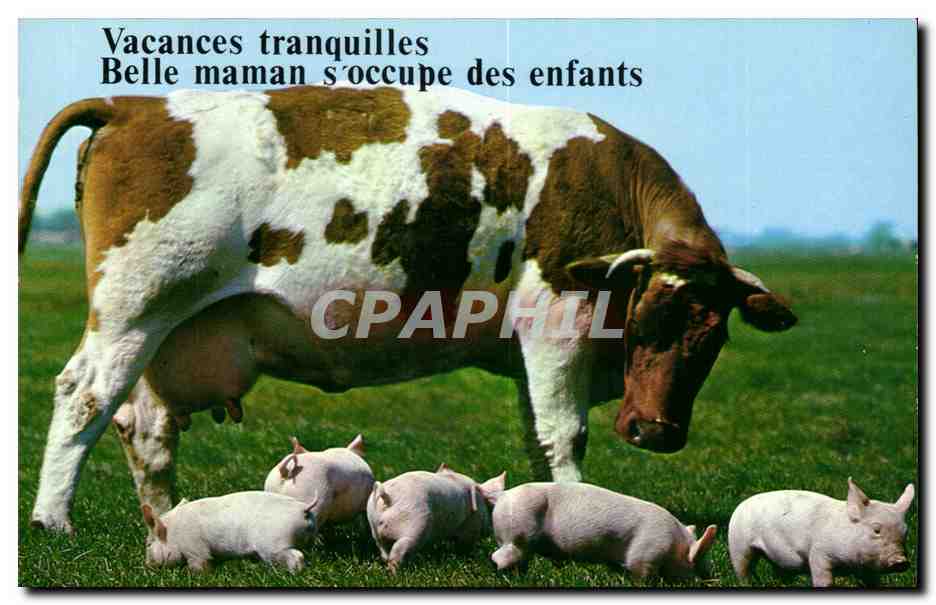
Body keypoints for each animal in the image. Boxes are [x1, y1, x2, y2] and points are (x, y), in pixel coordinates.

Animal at [20, 85, 796, 534]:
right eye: (642, 320)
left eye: (712, 337)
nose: (654, 430)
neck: (606, 182)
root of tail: (134, 104)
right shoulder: (556, 316)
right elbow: (564, 432)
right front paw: (579, 501)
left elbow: (536, 433)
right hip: (135, 307)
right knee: (85, 398)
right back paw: (54, 519)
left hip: (170, 328)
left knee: (144, 426)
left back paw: (170, 519)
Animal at [141, 491, 318, 573]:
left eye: (148, 544)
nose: (147, 565)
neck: (173, 533)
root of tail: (303, 508)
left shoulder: (195, 547)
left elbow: (201, 563)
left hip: (273, 545)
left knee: (297, 556)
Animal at [366, 463, 506, 573]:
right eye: (489, 507)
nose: (488, 532)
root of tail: (388, 496)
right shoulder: (470, 527)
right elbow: (464, 544)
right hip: (414, 527)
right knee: (397, 553)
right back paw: (397, 573)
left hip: (374, 527)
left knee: (383, 551)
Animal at [490, 482, 717, 581]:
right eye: (696, 561)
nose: (709, 579)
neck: (676, 544)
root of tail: (502, 495)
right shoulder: (645, 554)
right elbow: (642, 574)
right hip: (516, 532)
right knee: (498, 557)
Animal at [727, 478, 915, 587]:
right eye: (876, 530)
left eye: (905, 532)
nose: (901, 561)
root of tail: (740, 505)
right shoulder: (819, 553)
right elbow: (823, 578)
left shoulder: (869, 569)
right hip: (738, 543)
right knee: (743, 568)